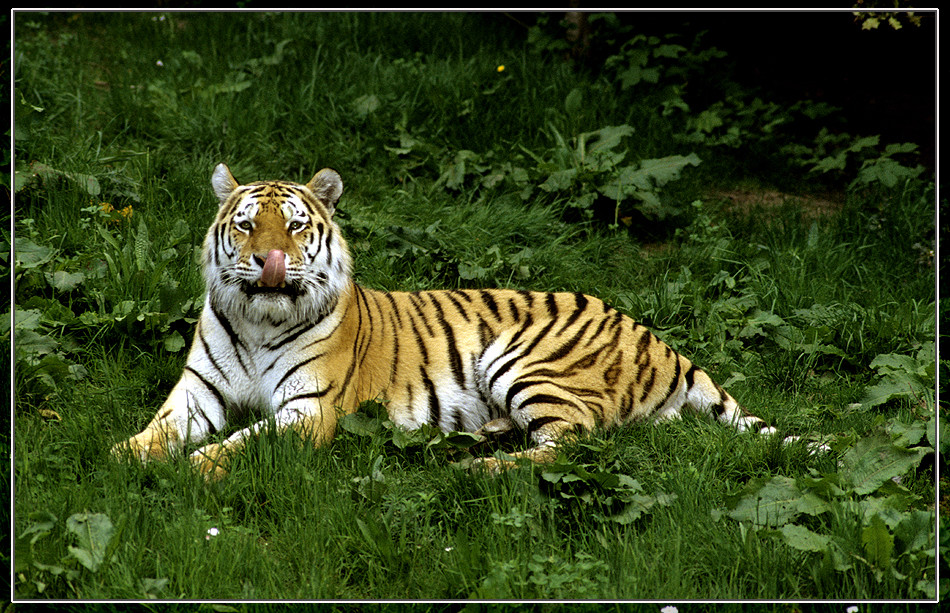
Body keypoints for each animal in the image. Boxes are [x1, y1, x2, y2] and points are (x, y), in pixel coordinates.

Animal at [115, 163, 808, 478]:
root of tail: (653, 335)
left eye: (294, 225)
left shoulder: (308, 411)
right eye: (244, 225)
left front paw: (191, 470)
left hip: (525, 359)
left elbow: (239, 444)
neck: (260, 321)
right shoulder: (197, 395)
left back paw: (470, 468)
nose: (269, 260)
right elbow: (153, 434)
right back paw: (473, 439)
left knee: (575, 442)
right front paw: (122, 459)